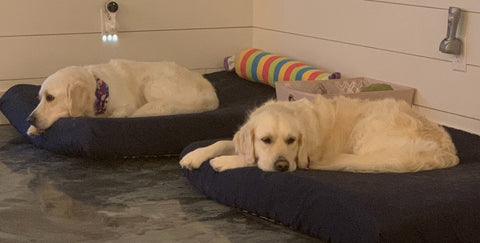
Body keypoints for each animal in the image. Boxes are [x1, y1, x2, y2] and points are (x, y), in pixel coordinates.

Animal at [27, 58, 218, 136]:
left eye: (50, 97)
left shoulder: (127, 106)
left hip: (152, 84)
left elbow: (116, 116)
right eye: (39, 98)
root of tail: (212, 95)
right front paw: (32, 129)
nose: (30, 119)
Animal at [182, 96, 460, 174]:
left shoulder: (299, 159)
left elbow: (252, 161)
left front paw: (224, 161)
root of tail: (448, 151)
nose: (282, 166)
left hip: (367, 127)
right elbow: (221, 142)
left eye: (292, 140)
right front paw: (195, 156)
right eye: (266, 140)